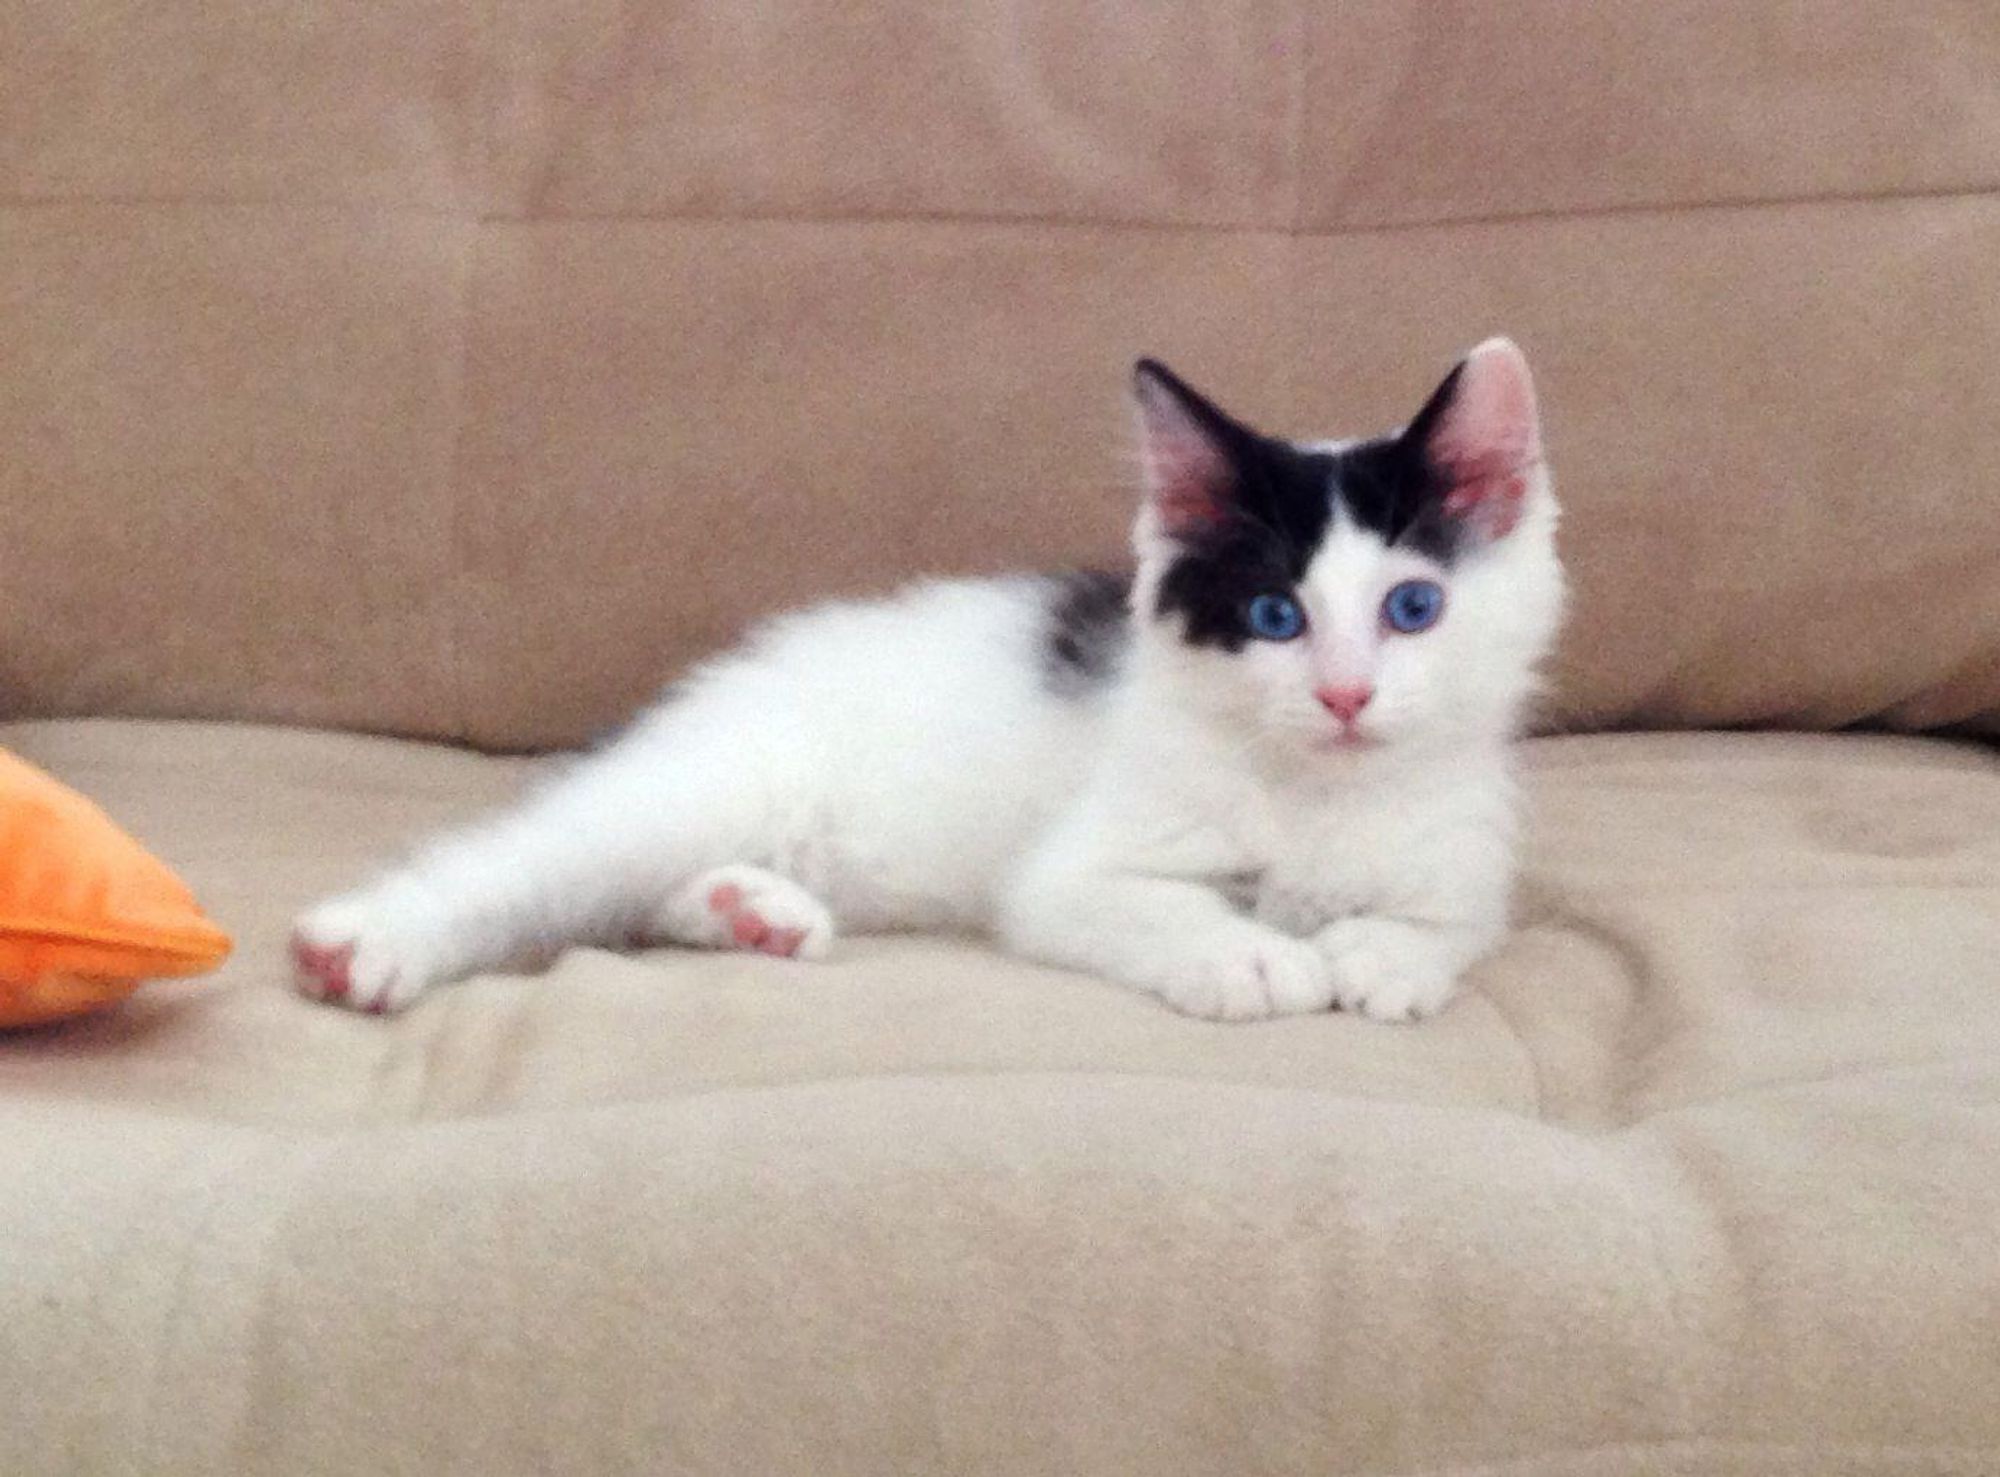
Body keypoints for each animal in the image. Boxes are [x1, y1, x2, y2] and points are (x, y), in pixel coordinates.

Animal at [290, 338, 1560, 1016]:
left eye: (1412, 607)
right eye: (1272, 615)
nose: (1344, 696)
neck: (1317, 794)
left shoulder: (1463, 852)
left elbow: (1451, 921)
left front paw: (1382, 953)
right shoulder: (1072, 870)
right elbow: (1148, 899)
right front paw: (1250, 951)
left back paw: (749, 911)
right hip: (707, 781)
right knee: (526, 866)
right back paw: (366, 943)